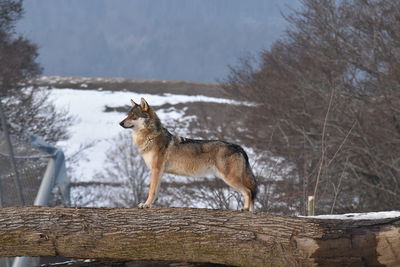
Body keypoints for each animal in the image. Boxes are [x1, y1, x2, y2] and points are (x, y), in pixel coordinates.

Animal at [119, 98, 256, 211]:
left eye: (134, 116)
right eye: (128, 115)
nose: (120, 123)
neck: (150, 137)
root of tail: (239, 147)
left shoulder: (156, 169)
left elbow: (151, 191)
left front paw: (146, 204)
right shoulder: (159, 172)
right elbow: (156, 192)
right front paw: (151, 205)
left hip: (230, 178)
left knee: (249, 191)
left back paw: (246, 209)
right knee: (250, 192)